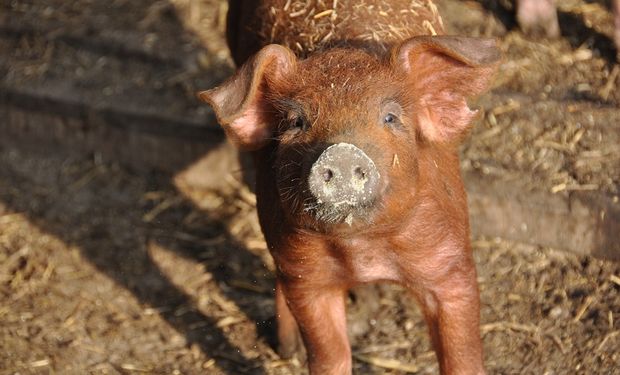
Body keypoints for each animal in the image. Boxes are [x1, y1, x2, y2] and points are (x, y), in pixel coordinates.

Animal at [201, 1, 502, 374]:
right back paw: (289, 350)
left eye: (390, 117)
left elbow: (462, 352)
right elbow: (330, 355)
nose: (342, 151)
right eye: (297, 122)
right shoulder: (305, 275)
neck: (364, 248)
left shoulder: (450, 262)